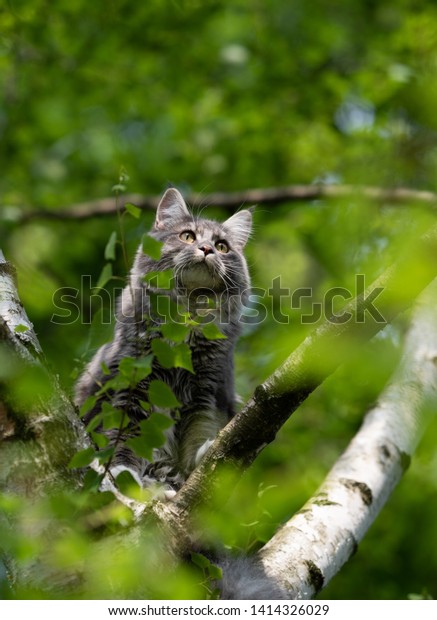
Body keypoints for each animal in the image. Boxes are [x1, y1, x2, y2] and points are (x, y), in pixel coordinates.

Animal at [74, 186, 252, 492]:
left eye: (222, 247)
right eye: (188, 236)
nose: (206, 249)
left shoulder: (209, 391)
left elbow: (199, 433)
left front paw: (200, 459)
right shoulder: (130, 386)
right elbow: (124, 439)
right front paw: (123, 473)